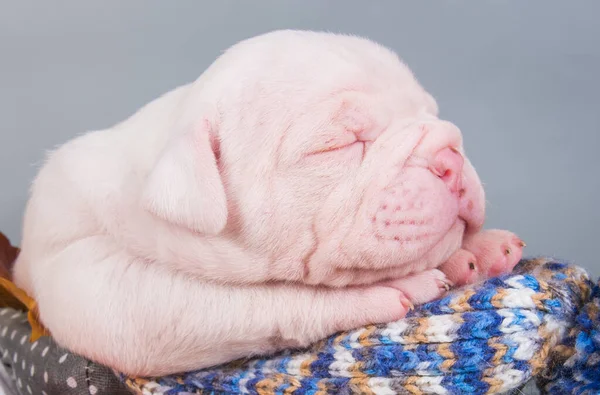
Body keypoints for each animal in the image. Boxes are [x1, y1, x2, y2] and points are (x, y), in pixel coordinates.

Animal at [11, 29, 524, 376]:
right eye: (338, 144)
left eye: (430, 113)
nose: (450, 154)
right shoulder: (103, 286)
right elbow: (263, 299)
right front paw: (399, 286)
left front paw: (473, 250)